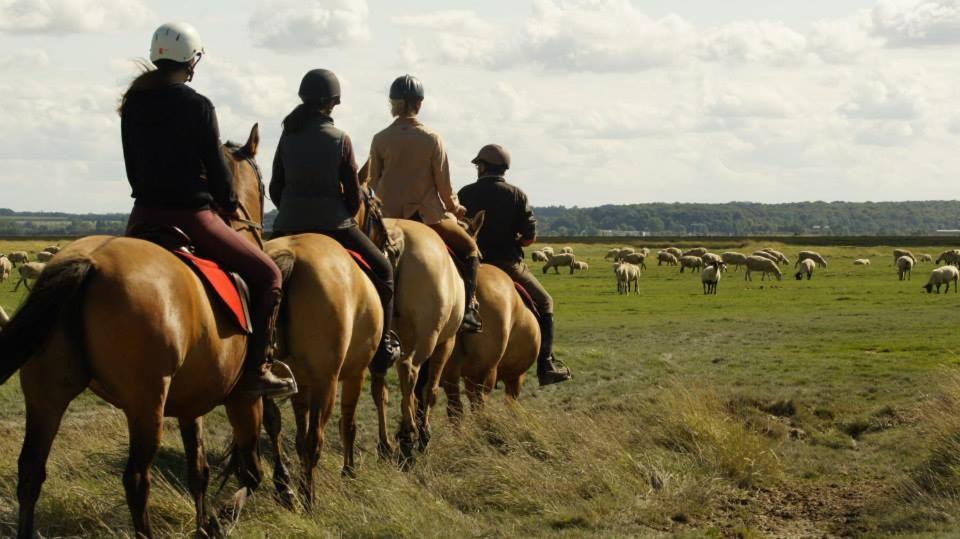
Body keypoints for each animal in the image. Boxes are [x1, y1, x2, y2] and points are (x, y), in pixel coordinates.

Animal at [1, 124, 270, 536]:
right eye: (264, 184)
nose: (259, 231)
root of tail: (89, 262)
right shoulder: (244, 398)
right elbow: (249, 474)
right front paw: (220, 519)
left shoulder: (193, 402)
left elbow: (199, 472)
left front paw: (205, 521)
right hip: (147, 403)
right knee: (136, 481)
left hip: (47, 391)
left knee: (31, 471)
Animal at [262, 234, 386, 508]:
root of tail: (292, 257)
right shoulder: (357, 373)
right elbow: (348, 424)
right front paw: (348, 471)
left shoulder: (300, 383)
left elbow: (298, 436)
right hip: (326, 384)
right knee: (314, 441)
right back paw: (309, 499)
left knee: (273, 423)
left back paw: (285, 486)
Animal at [440, 264, 540, 420]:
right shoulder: (516, 377)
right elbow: (511, 405)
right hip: (483, 372)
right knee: (478, 404)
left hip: (451, 371)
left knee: (455, 407)